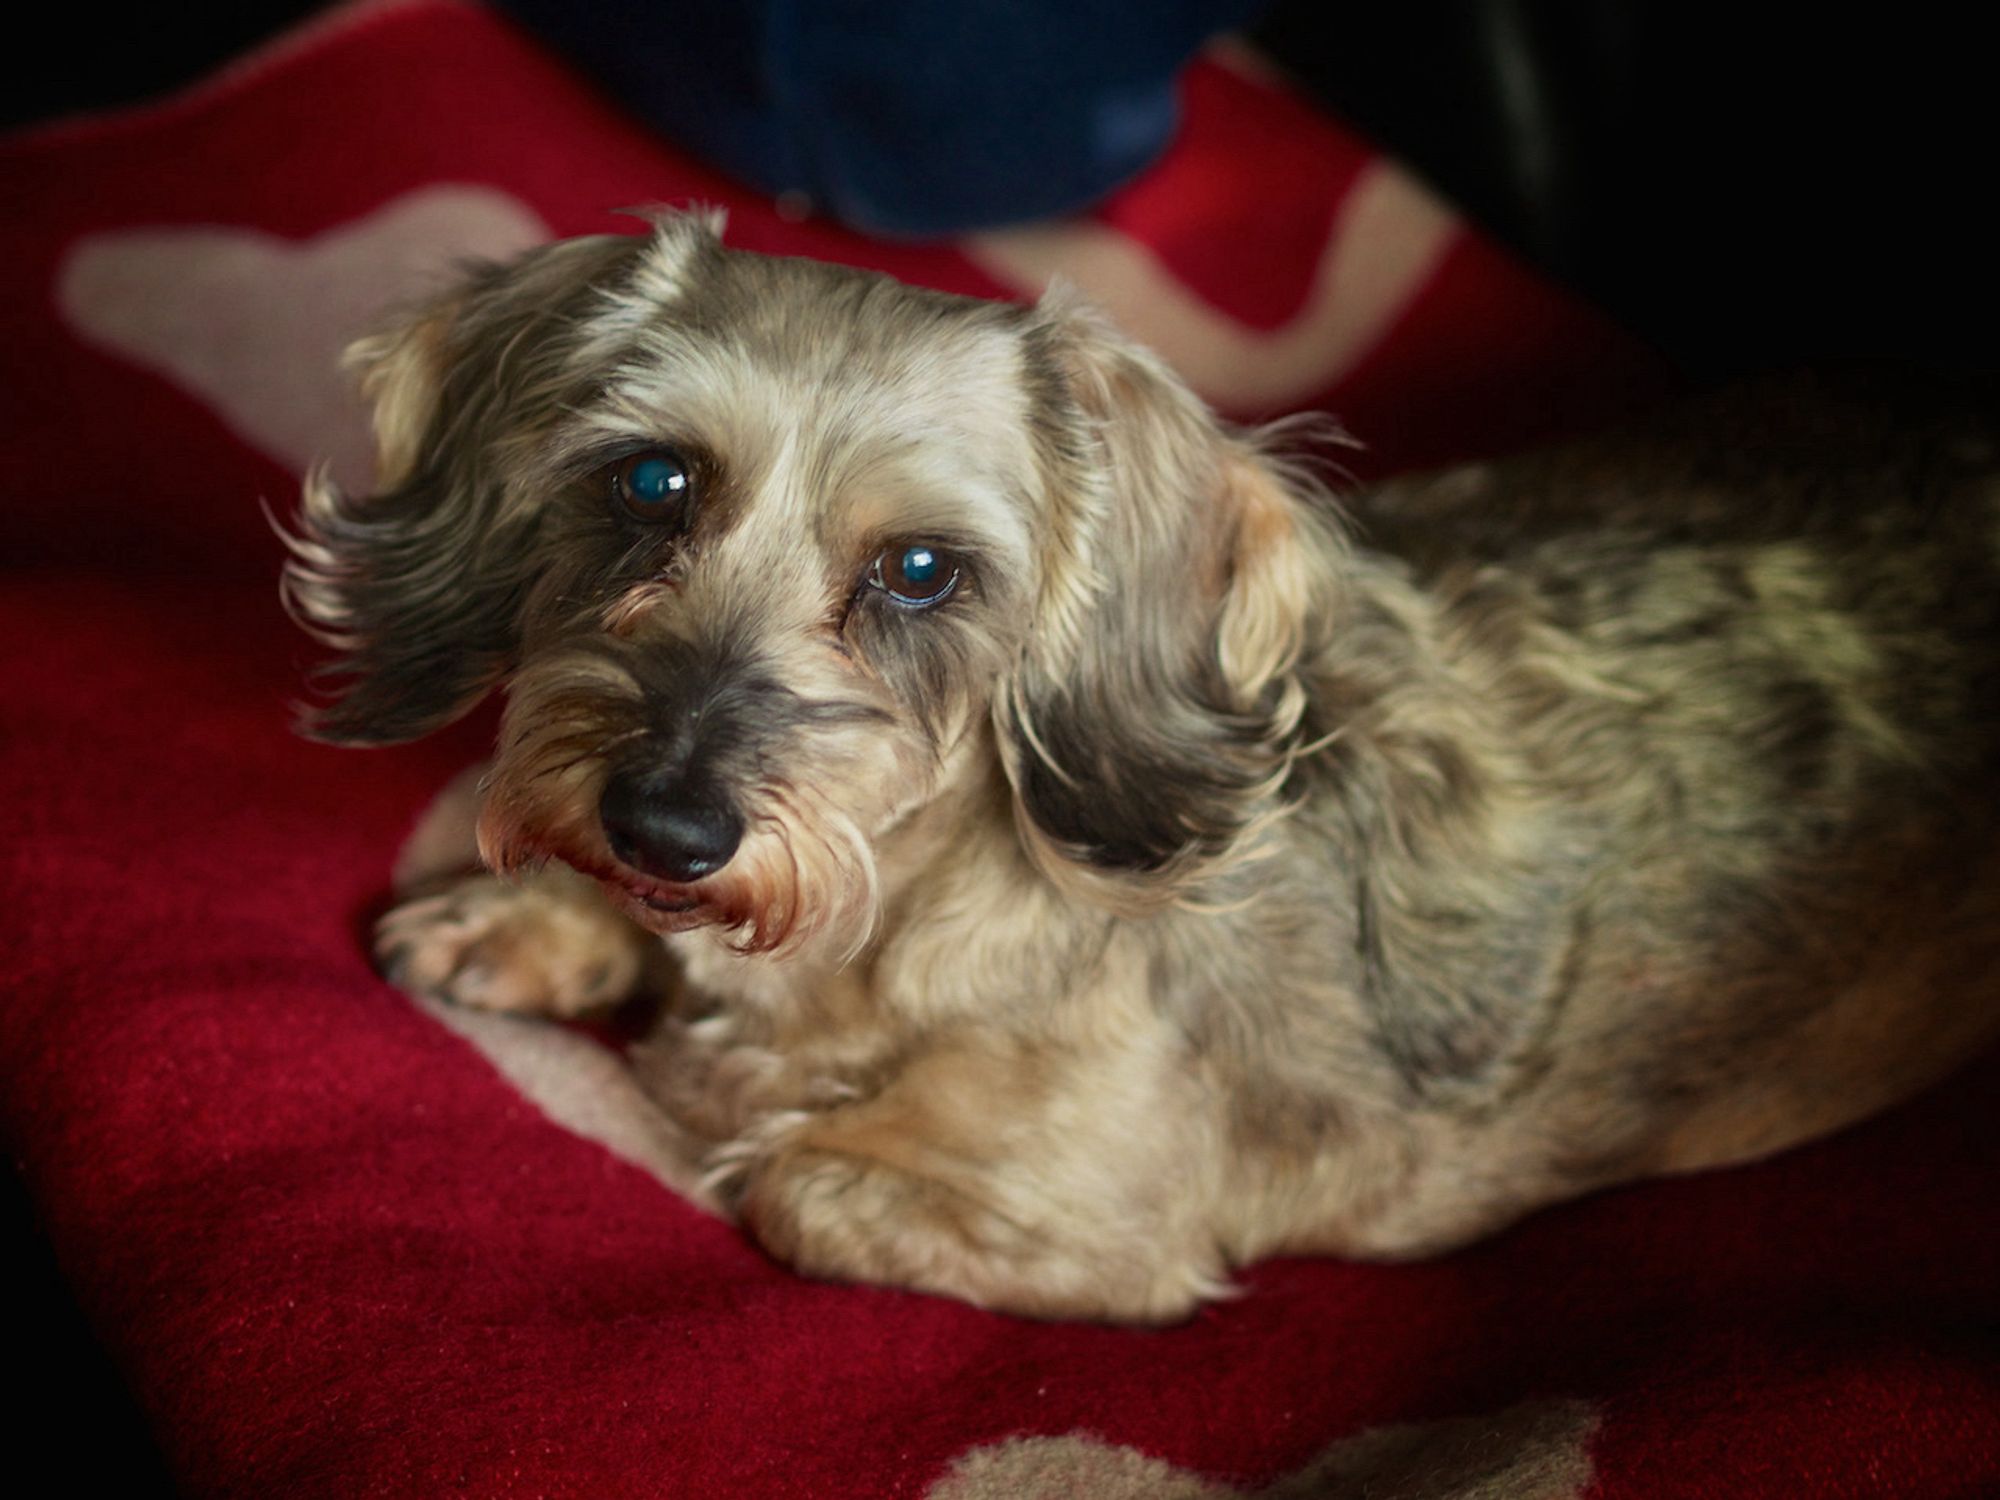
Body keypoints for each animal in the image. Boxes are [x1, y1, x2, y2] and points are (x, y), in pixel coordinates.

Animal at [286, 214, 2000, 1328]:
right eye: (653, 480)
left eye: (922, 570)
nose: (667, 821)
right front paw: (533, 921)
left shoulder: (1082, 1220)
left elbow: (786, 1179)